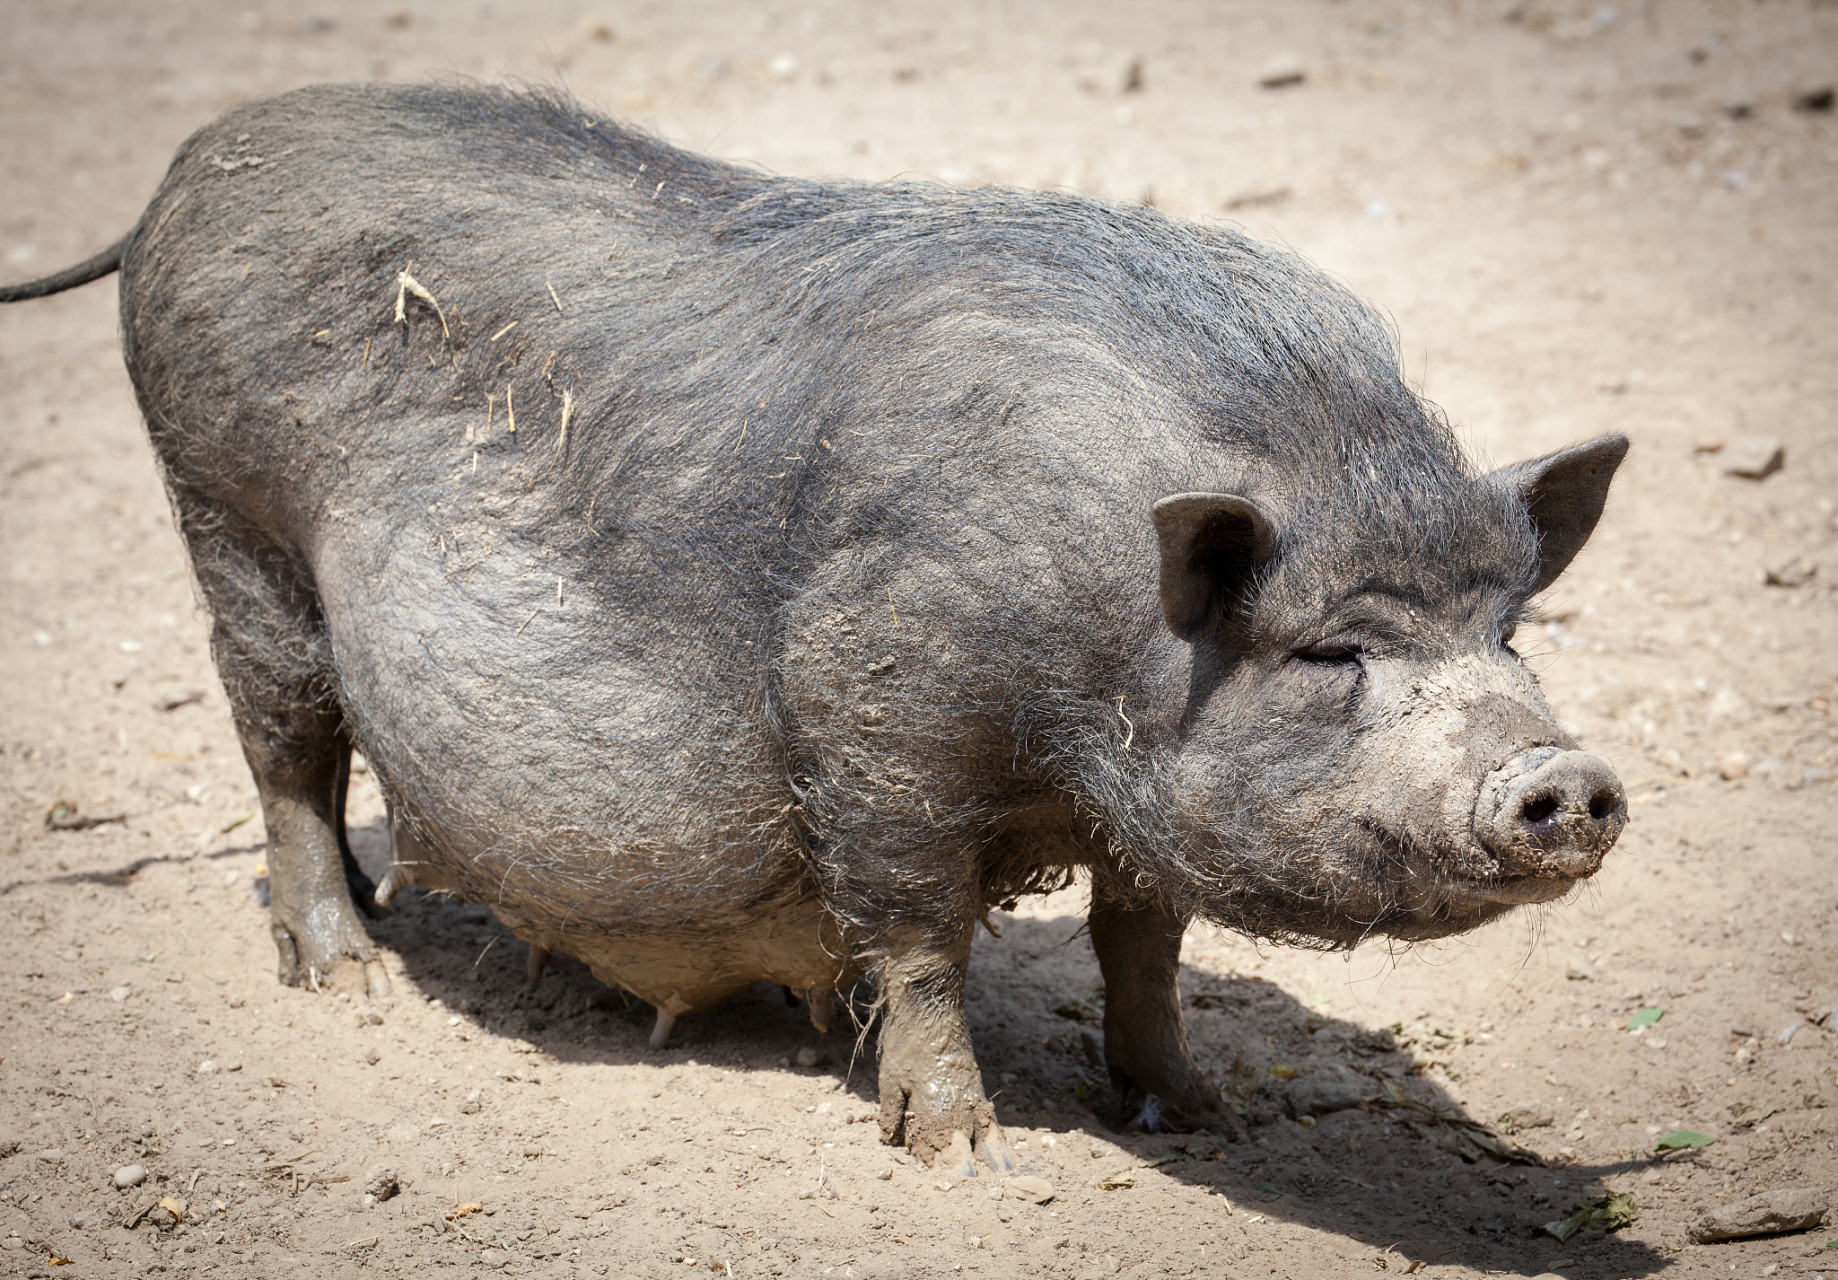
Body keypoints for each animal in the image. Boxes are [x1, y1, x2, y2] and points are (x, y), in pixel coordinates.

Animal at [7, 82, 1632, 1177]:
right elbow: (920, 937)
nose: (1566, 777)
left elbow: (1142, 939)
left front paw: (1198, 1114)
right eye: (1329, 651)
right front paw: (963, 1155)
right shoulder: (872, 701)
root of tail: (178, 175)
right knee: (283, 743)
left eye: (1510, 628)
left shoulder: (1131, 796)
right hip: (227, 518)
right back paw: (342, 973)